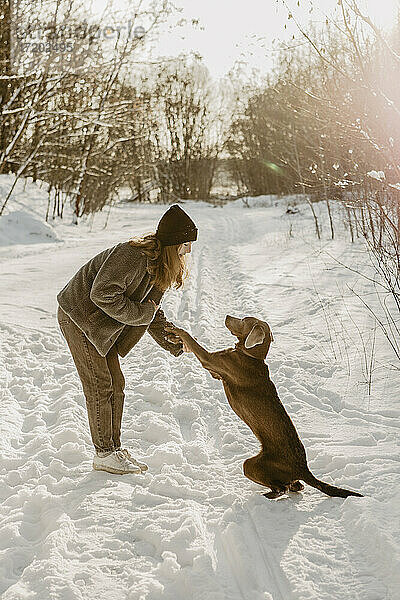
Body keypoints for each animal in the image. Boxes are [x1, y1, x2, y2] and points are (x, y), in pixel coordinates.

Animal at [165, 316, 362, 500]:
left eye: (244, 320)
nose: (227, 316)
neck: (251, 356)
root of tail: (303, 469)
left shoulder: (210, 360)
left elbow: (192, 340)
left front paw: (176, 329)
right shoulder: (215, 372)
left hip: (252, 465)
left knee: (282, 488)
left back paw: (266, 496)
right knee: (296, 486)